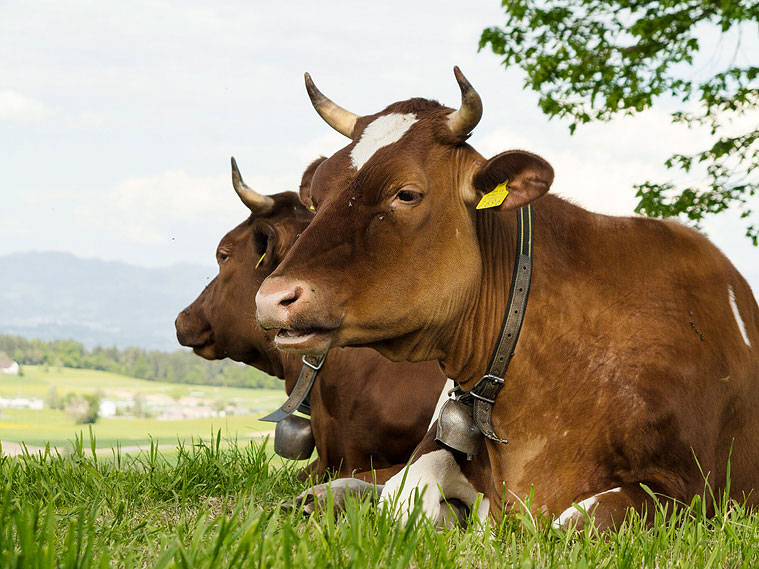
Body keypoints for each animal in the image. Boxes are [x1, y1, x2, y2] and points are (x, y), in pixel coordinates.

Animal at [256, 67, 759, 530]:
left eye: (407, 193)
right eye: (316, 197)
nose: (271, 298)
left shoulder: (689, 491)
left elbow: (576, 521)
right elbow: (406, 492)